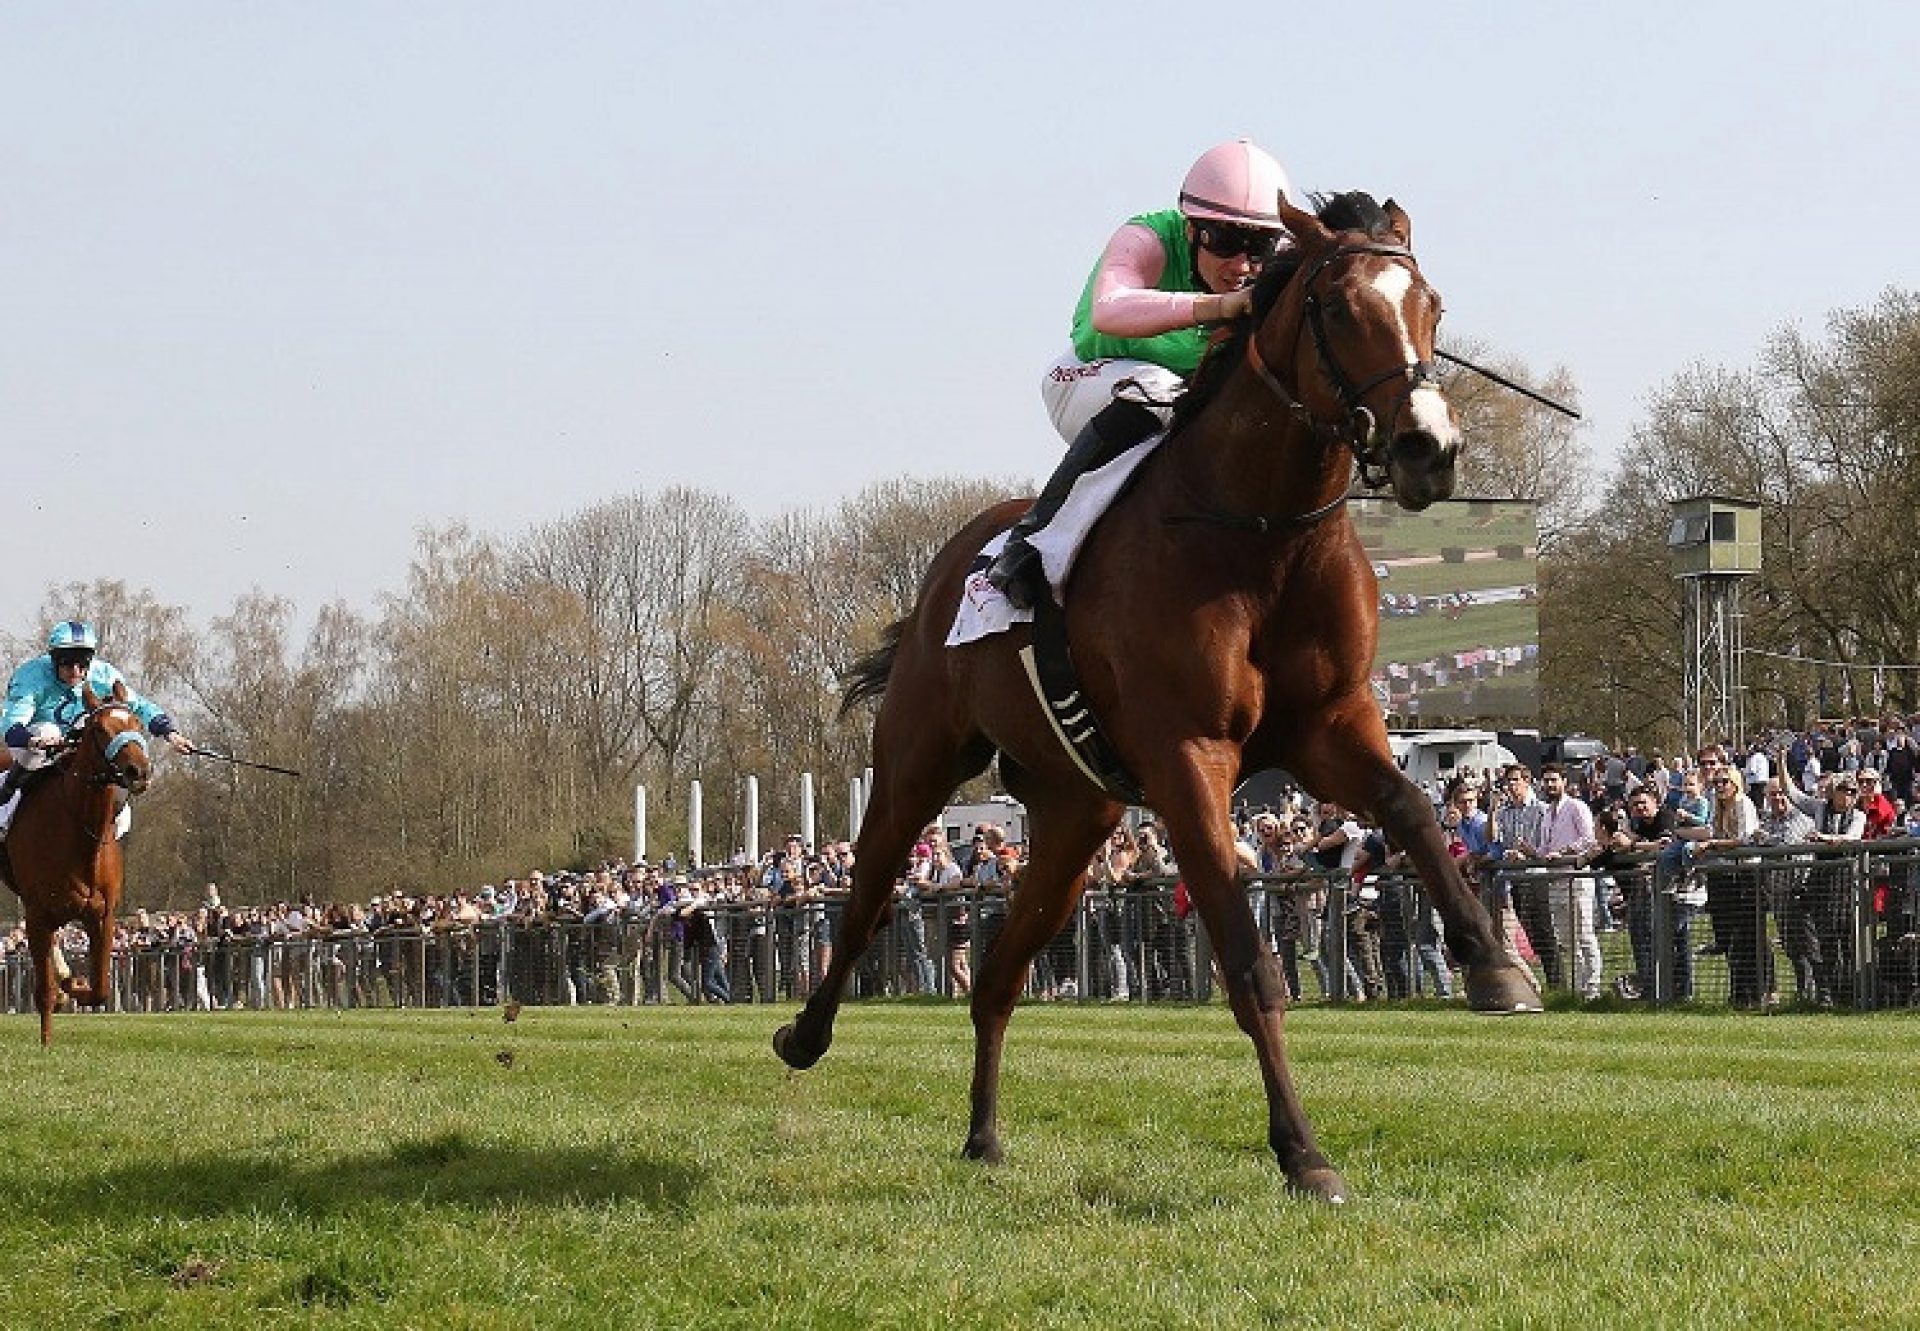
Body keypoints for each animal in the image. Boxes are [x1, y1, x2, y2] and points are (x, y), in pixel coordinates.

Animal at [0, 683, 150, 1052]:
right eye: (99, 729)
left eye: (137, 723)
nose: (138, 772)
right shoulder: (37, 912)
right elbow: (44, 990)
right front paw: (46, 1042)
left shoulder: (102, 915)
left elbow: (101, 990)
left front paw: (74, 985)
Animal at [771, 192, 1536, 1198]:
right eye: (1337, 308)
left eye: (1432, 305)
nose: (1428, 448)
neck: (1261, 535)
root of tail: (949, 561)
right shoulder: (1188, 757)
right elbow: (1250, 964)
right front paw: (1303, 1151)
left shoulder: (1331, 726)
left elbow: (1411, 805)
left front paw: (1493, 965)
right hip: (916, 764)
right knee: (864, 899)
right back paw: (803, 1032)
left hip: (1074, 817)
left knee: (1000, 971)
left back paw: (983, 1134)